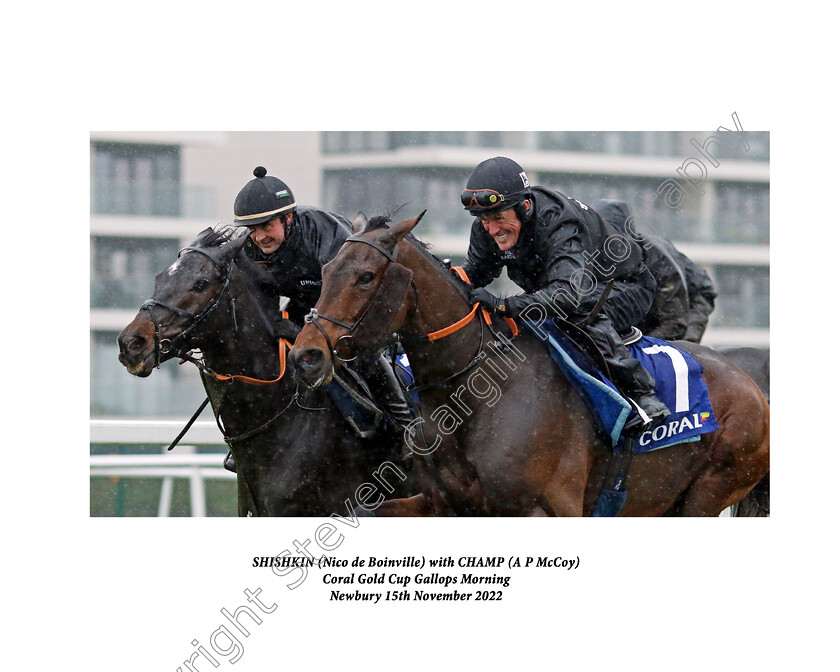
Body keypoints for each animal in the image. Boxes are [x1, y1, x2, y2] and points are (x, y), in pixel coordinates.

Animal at [288, 213, 768, 516]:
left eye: (366, 276)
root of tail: (753, 386)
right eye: (325, 270)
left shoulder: (547, 507)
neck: (473, 394)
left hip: (709, 490)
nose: (305, 355)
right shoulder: (443, 505)